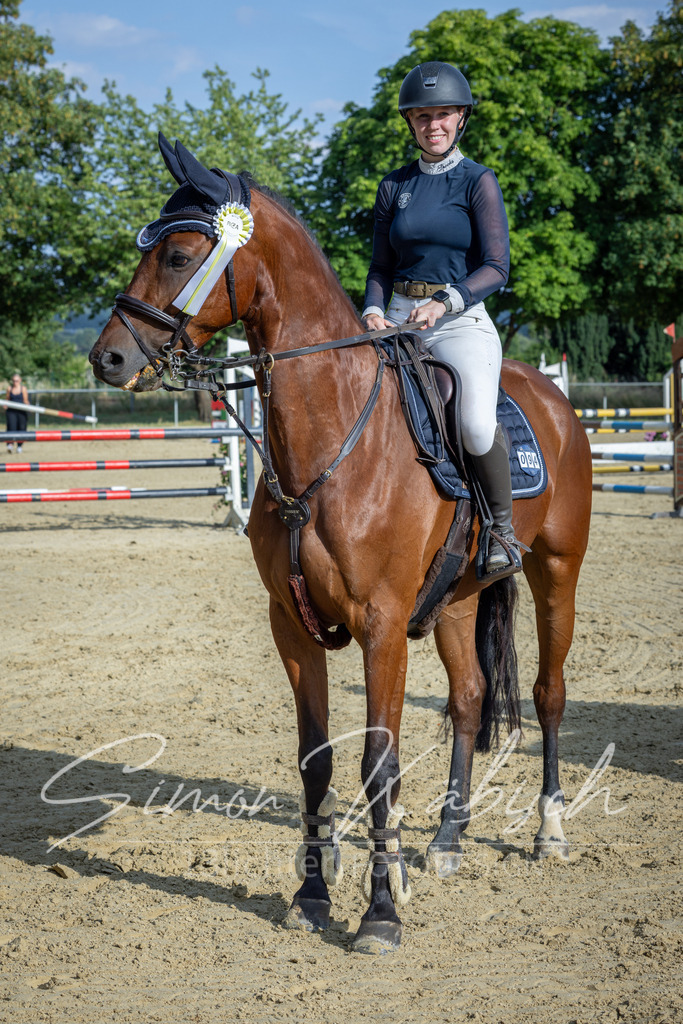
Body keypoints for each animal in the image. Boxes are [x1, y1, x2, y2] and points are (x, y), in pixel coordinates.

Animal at [89, 137, 592, 954]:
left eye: (179, 254)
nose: (107, 359)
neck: (331, 438)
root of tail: (549, 393)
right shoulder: (292, 627)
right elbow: (316, 762)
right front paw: (312, 895)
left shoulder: (380, 626)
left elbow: (377, 763)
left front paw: (380, 913)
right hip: (456, 600)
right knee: (466, 699)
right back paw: (447, 840)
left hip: (557, 572)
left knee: (549, 694)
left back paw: (549, 828)